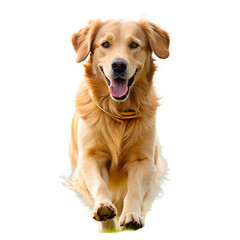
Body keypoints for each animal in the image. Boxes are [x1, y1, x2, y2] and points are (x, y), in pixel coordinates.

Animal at [63, 19, 169, 232]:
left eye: (134, 44)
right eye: (105, 44)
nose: (119, 65)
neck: (118, 113)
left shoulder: (144, 161)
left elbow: (134, 190)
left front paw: (131, 215)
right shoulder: (90, 157)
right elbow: (99, 184)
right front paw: (104, 207)